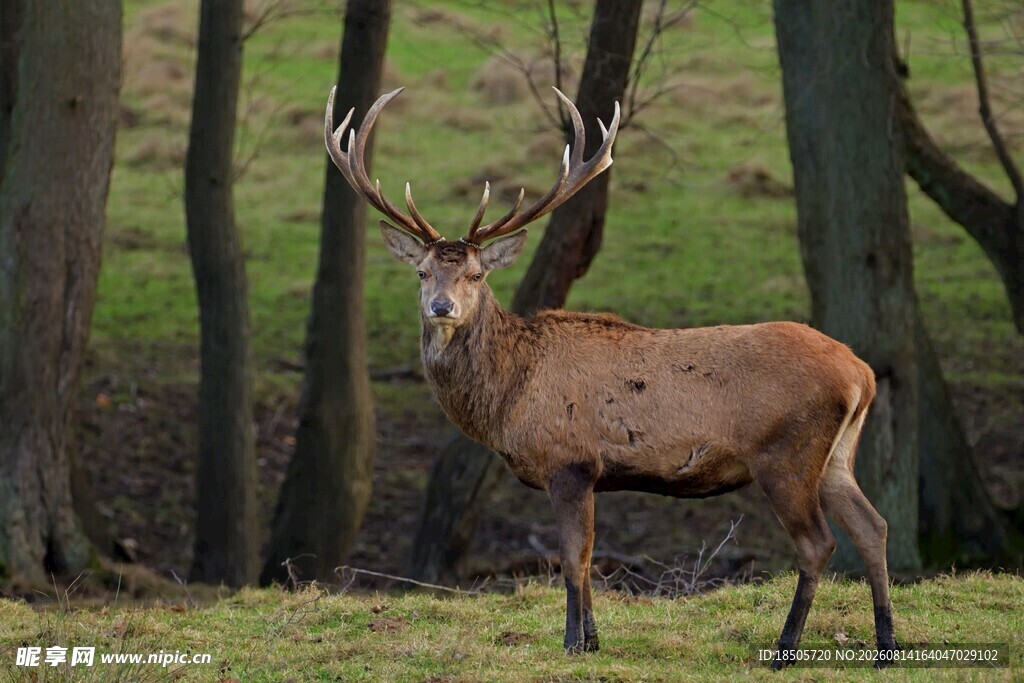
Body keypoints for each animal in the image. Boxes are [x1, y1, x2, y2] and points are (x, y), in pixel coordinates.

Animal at [323, 85, 899, 667]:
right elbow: (589, 557)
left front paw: (572, 643)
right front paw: (594, 640)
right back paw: (885, 645)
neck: (509, 396)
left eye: (476, 274)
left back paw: (786, 646)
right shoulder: (592, 473)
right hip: (837, 455)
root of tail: (862, 373)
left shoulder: (570, 460)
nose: (441, 307)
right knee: (873, 525)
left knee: (818, 542)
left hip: (785, 451)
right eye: (422, 272)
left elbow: (573, 559)